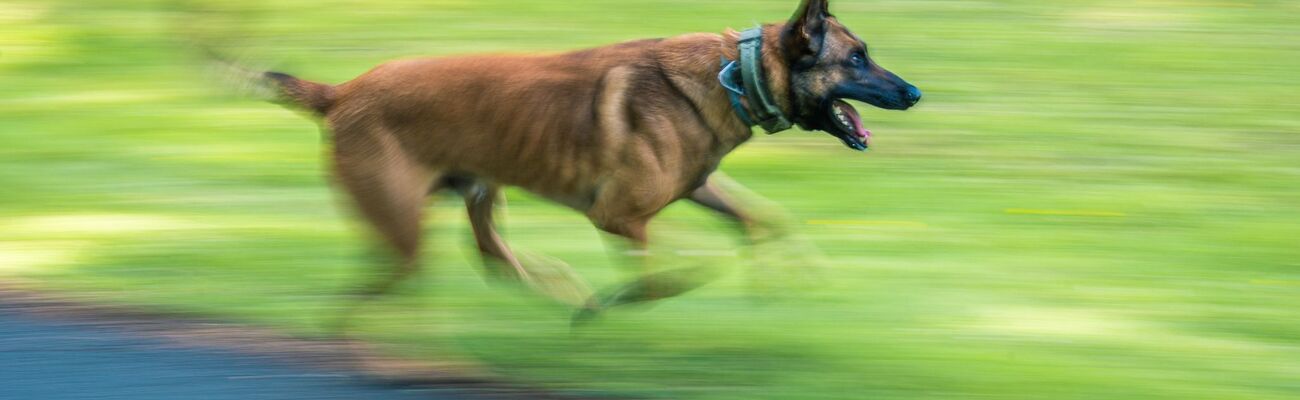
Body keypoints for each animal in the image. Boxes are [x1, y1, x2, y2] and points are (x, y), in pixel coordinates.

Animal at [261, 0, 915, 323]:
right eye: (857, 58)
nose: (914, 93)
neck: (735, 73)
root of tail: (339, 93)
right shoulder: (619, 217)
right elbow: (665, 277)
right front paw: (605, 306)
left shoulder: (698, 186)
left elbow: (765, 221)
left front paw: (786, 278)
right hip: (404, 227)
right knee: (369, 293)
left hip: (478, 195)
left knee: (492, 258)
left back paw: (553, 286)